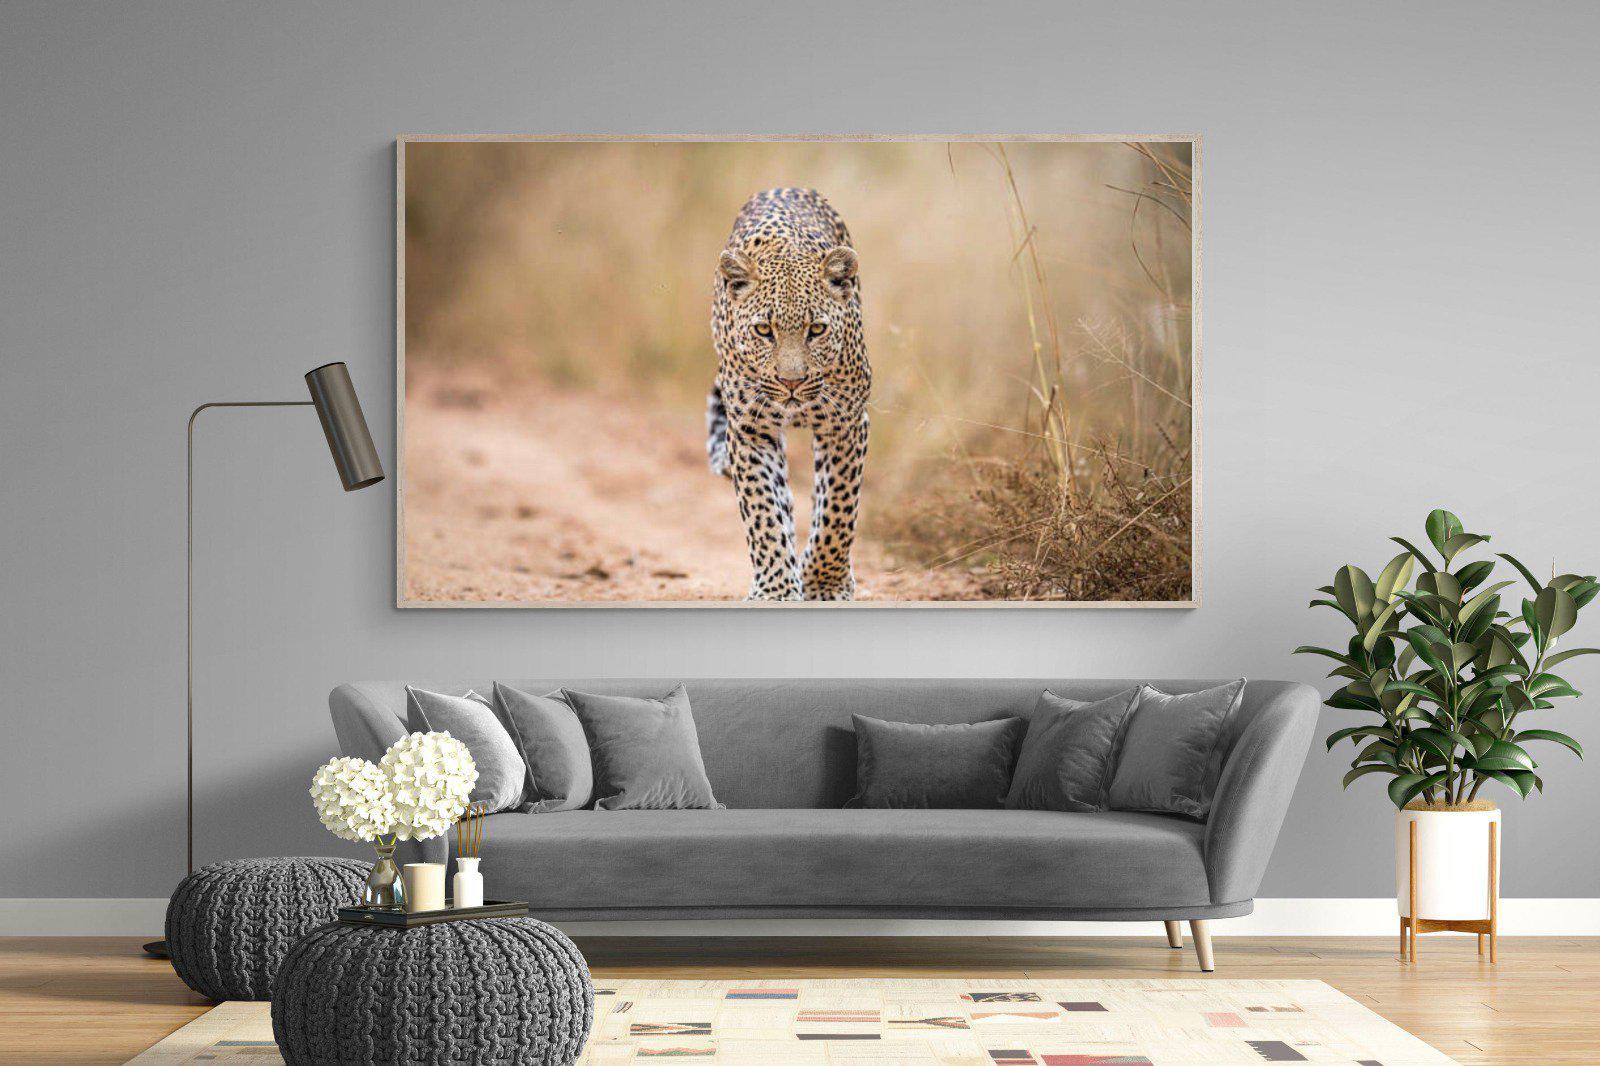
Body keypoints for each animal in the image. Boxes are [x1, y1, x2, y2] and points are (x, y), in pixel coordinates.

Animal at [705, 188, 871, 601]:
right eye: (764, 330)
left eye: (817, 329)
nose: (791, 382)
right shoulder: (750, 430)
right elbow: (763, 510)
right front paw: (776, 590)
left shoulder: (845, 423)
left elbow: (838, 509)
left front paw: (824, 584)